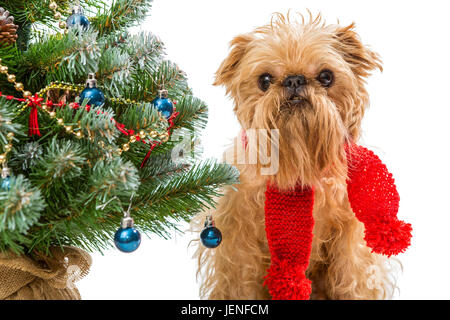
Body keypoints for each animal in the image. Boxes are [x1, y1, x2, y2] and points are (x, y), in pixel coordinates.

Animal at [192, 11, 406, 298]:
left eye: (326, 77)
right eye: (265, 80)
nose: (294, 80)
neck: (300, 166)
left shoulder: (350, 238)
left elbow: (352, 277)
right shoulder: (237, 239)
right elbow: (241, 282)